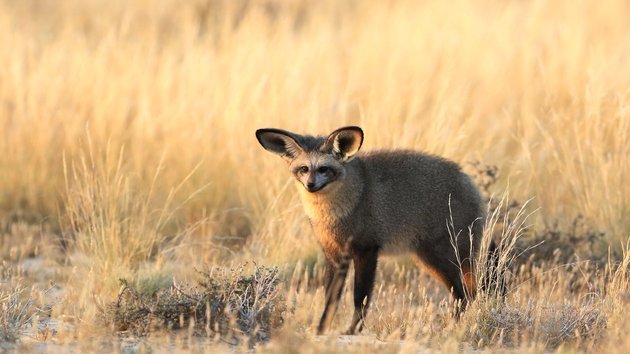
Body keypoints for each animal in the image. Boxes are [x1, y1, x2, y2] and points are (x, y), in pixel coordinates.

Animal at [256, 126, 504, 334]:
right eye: (304, 169)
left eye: (324, 169)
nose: (310, 185)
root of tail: (469, 182)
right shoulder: (334, 255)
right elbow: (330, 300)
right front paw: (320, 330)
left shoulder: (366, 250)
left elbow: (360, 298)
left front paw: (353, 331)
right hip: (430, 259)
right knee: (468, 293)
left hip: (439, 257)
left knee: (464, 295)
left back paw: (451, 329)